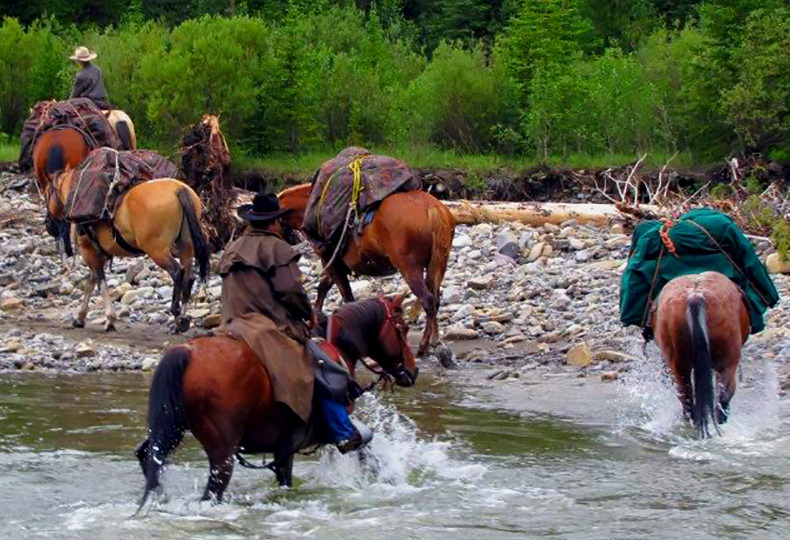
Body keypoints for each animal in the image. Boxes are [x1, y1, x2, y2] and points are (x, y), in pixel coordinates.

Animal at [45, 170, 209, 332]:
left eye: (48, 193)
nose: (49, 224)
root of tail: (179, 189)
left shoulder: (89, 252)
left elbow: (100, 283)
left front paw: (109, 319)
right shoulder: (99, 255)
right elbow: (91, 282)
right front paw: (80, 318)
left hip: (157, 251)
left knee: (177, 272)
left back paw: (176, 315)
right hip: (185, 246)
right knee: (189, 276)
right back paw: (183, 319)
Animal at [135, 294, 418, 505]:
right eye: (403, 329)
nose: (412, 372)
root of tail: (187, 351)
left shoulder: (286, 448)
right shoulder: (334, 432)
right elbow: (367, 454)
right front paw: (392, 480)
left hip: (172, 428)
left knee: (149, 456)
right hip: (222, 454)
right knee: (212, 491)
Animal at [278, 183, 455, 357]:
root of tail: (432, 208)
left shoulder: (331, 262)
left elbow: (345, 296)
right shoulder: (335, 265)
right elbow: (323, 287)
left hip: (409, 268)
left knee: (428, 300)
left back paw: (424, 346)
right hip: (438, 265)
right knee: (435, 299)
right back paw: (436, 340)